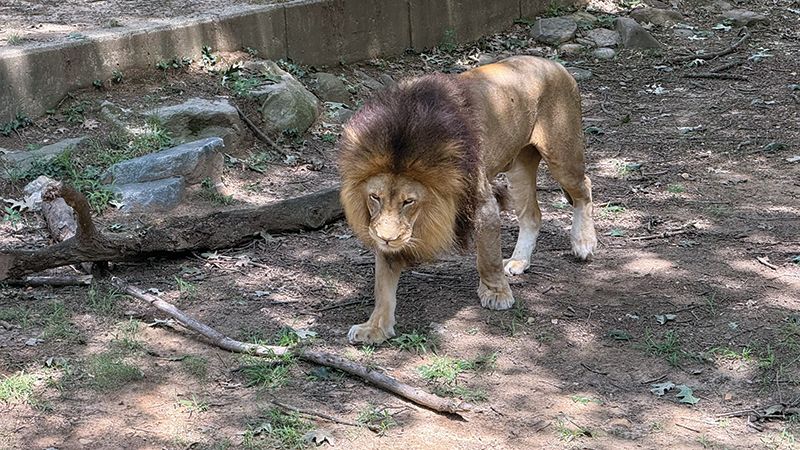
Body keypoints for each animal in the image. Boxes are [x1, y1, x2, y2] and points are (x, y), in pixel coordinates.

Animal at [338, 55, 597, 344]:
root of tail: (555, 64)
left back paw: (583, 243)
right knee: (532, 215)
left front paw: (496, 294)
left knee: (584, 189)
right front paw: (374, 327)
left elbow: (488, 256)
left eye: (409, 201)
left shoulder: (483, 204)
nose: (386, 238)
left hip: (562, 156)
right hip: (519, 166)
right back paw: (519, 261)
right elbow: (383, 285)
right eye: (375, 197)